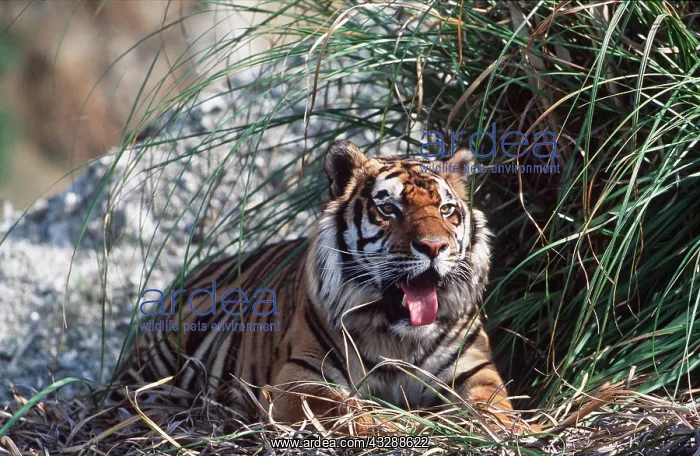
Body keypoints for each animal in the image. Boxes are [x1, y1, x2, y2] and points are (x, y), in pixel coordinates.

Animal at [118, 139, 523, 433]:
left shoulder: (474, 368)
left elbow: (492, 405)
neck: (397, 338)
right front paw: (393, 424)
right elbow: (341, 408)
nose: (435, 247)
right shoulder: (300, 376)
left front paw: (509, 428)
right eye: (389, 209)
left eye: (446, 210)